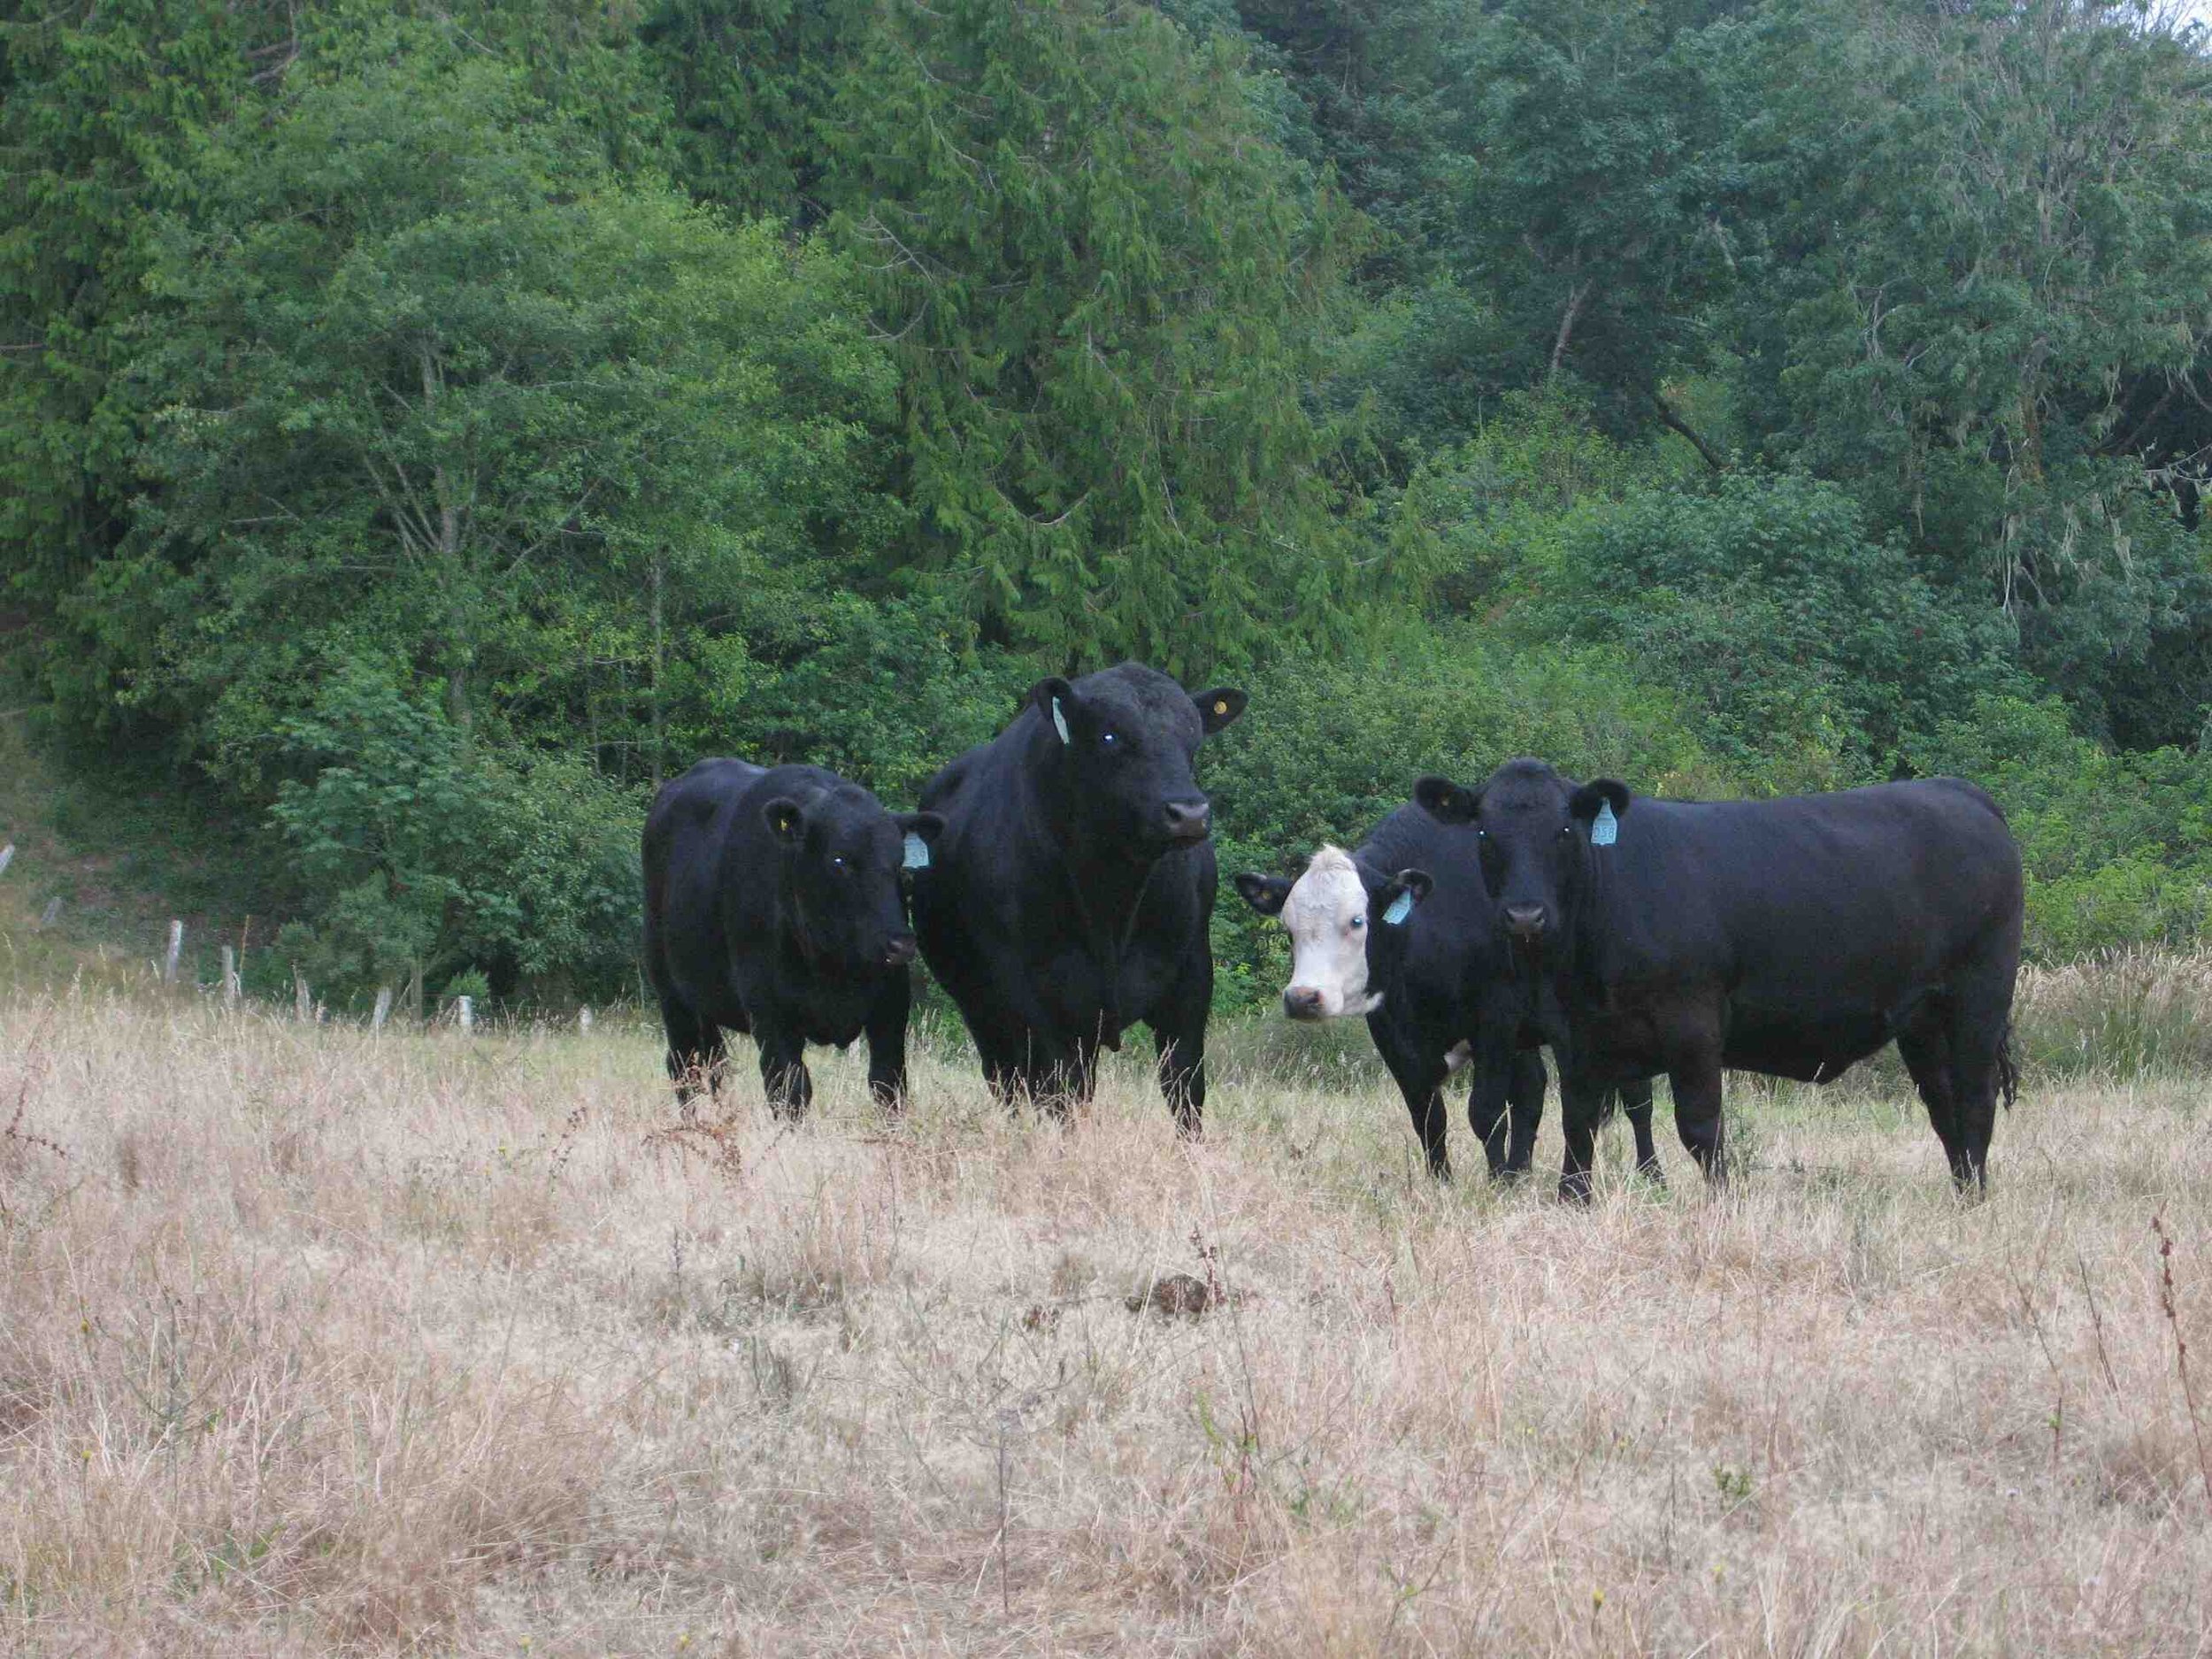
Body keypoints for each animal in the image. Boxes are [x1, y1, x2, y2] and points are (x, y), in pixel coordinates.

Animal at [642, 759, 942, 1119]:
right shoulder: (770, 1012)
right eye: (839, 860)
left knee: (712, 1063)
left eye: (900, 862)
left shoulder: (891, 1004)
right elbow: (790, 1091)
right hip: (670, 991)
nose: (899, 943)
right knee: (683, 1063)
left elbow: (888, 1084)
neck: (832, 967)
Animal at [911, 663, 1246, 1128]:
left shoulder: (1191, 978)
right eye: (1109, 736)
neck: (1112, 901)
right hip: (979, 1004)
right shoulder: (1033, 995)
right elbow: (1057, 1092)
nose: (1189, 813)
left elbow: (1185, 1090)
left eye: (1192, 737)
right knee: (1009, 1080)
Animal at [1234, 802, 1660, 1182]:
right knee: (1532, 1091)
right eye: (1289, 927)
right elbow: (1428, 1117)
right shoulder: (1394, 1034)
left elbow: (1485, 1112)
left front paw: (1495, 1185)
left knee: (1637, 1098)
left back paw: (1651, 1175)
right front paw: (1444, 1183)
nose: (1303, 997)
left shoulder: (1495, 1019)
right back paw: (1520, 1173)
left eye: (1356, 921)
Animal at [1414, 760, 2023, 1197]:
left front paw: (1721, 1201)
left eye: (1564, 830)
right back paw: (1962, 1192)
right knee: (1943, 1103)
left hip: (1980, 998)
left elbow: (1701, 1126)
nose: (1524, 916)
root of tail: (1962, 792)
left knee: (1975, 1096)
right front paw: (1573, 1199)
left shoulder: (1693, 1022)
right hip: (1922, 1018)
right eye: (1485, 835)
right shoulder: (1576, 1033)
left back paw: (1978, 1198)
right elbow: (1578, 1122)